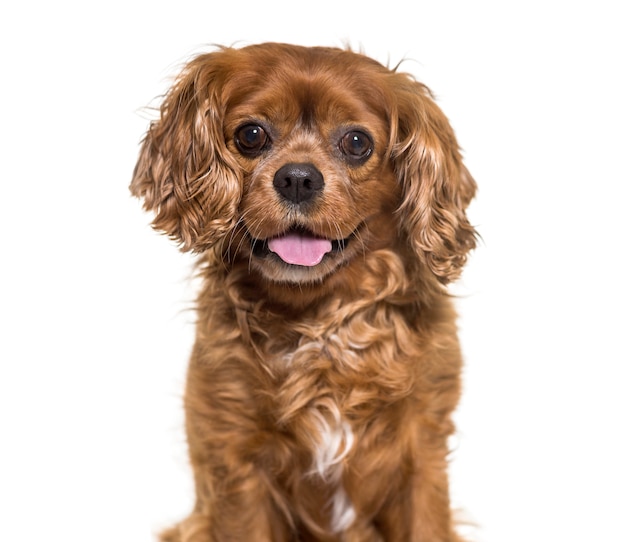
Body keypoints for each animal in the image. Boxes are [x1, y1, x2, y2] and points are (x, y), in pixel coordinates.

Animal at [130, 43, 472, 542]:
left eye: (356, 142)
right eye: (251, 135)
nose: (297, 177)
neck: (317, 323)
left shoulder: (421, 455)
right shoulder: (236, 462)